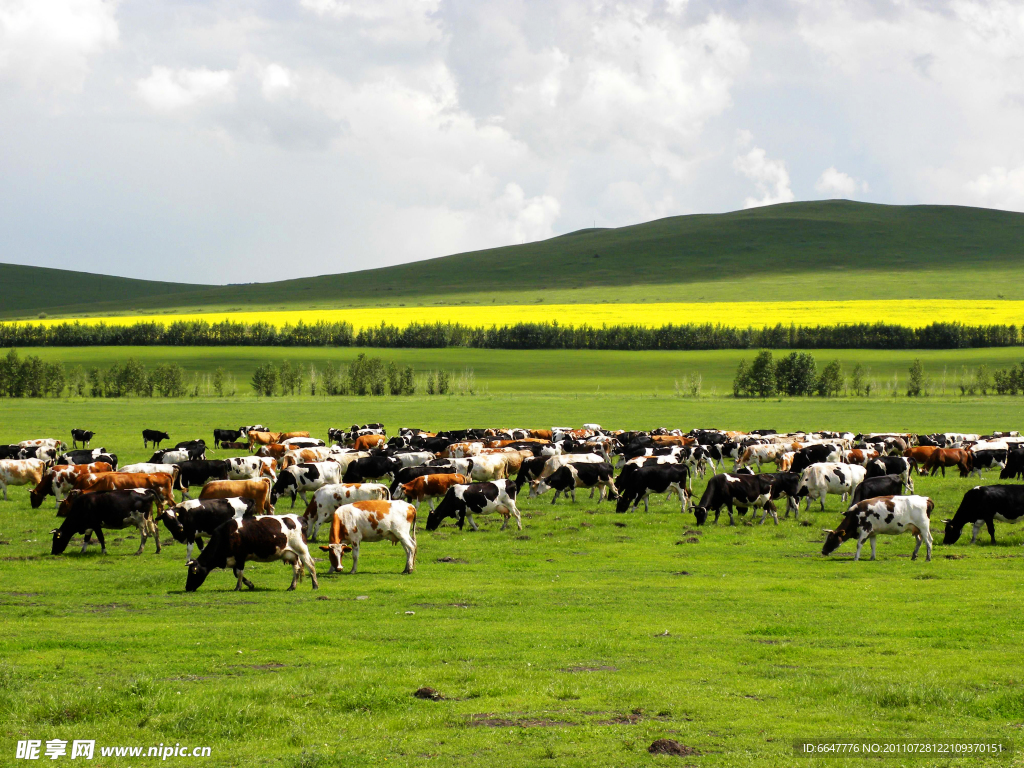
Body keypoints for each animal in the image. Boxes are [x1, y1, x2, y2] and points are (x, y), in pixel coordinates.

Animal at [185, 518, 319, 593]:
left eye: (193, 572)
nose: (187, 588)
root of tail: (299, 518)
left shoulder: (240, 557)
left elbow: (239, 573)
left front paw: (238, 587)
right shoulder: (236, 559)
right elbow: (236, 573)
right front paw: (250, 584)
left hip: (301, 549)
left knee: (310, 565)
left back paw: (315, 586)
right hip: (292, 554)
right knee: (296, 569)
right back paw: (292, 587)